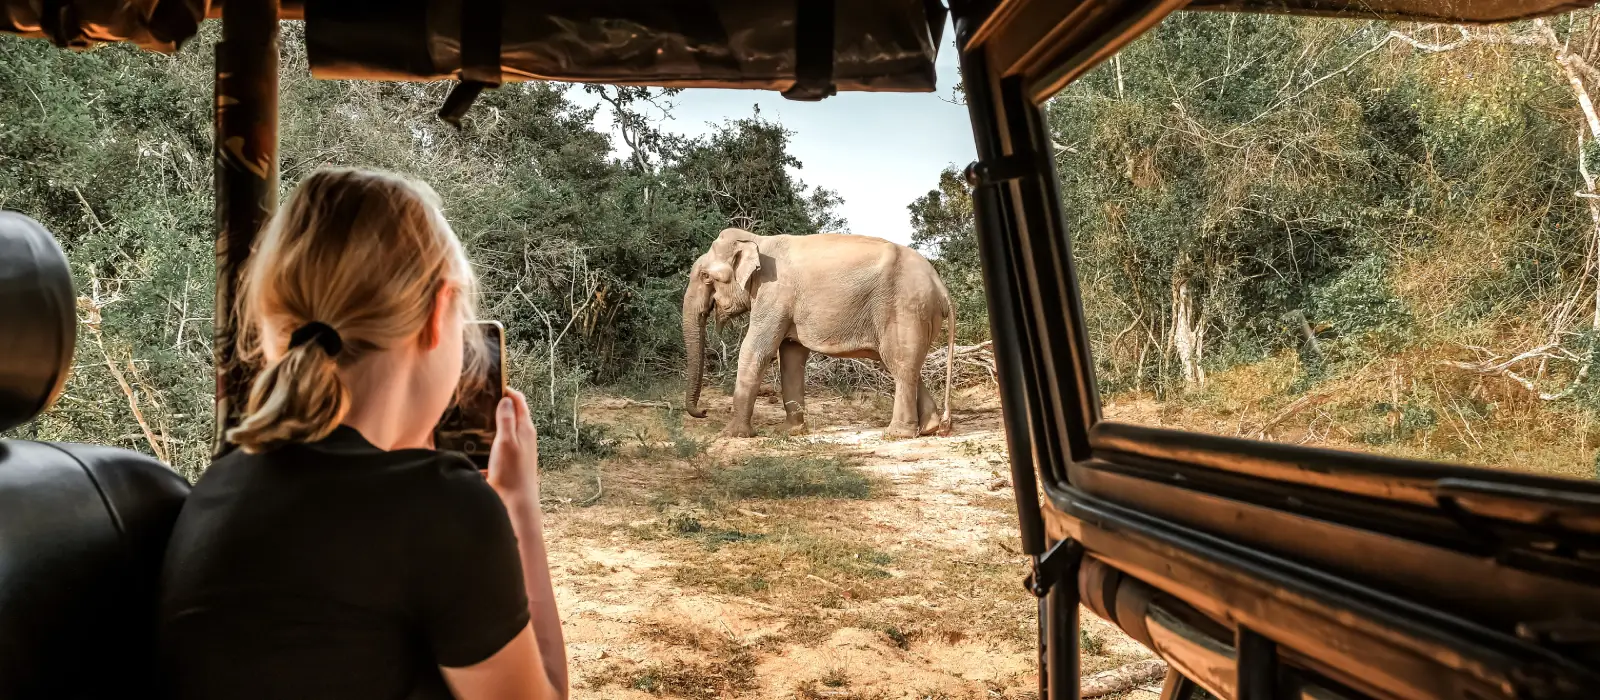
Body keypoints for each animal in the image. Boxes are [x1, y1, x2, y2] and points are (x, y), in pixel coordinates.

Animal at [682, 227, 956, 438]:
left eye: (705, 276)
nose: (703, 411)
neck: (758, 240)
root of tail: (941, 287)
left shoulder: (774, 293)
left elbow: (757, 349)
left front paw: (732, 434)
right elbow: (791, 355)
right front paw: (790, 432)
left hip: (906, 310)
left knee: (899, 364)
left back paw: (897, 434)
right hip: (918, 314)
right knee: (903, 365)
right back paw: (930, 428)